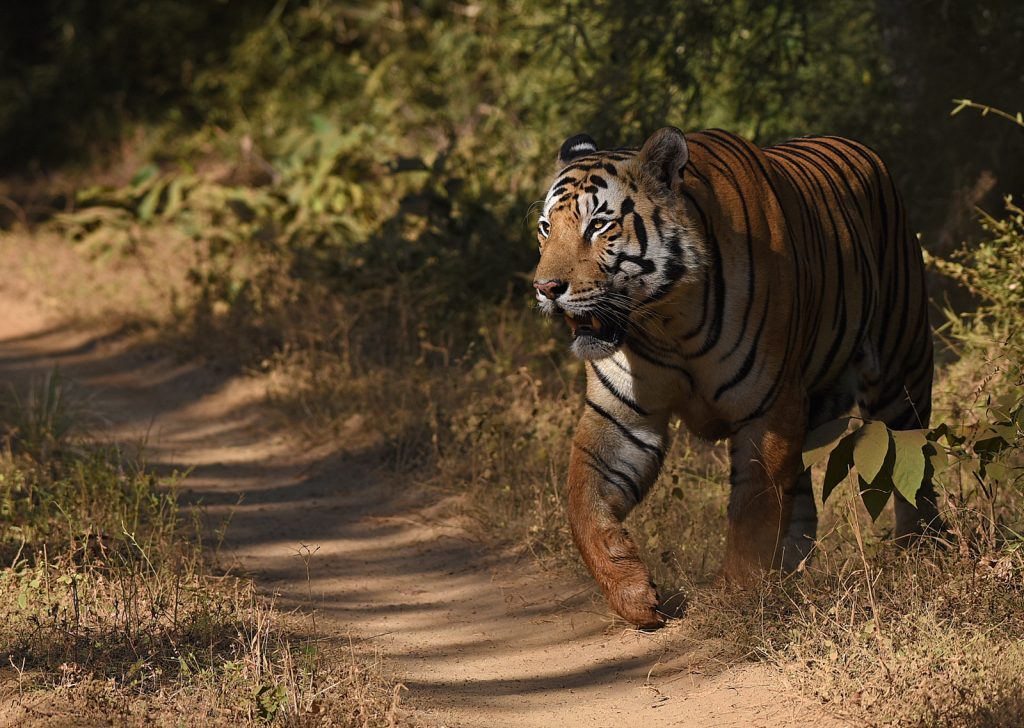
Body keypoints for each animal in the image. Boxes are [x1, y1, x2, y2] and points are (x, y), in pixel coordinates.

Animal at [536, 125, 942, 626]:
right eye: (546, 228)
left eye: (597, 225)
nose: (545, 288)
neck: (665, 320)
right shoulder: (622, 415)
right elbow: (583, 501)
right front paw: (630, 590)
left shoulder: (767, 408)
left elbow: (753, 507)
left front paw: (736, 593)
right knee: (802, 506)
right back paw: (790, 574)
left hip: (900, 369)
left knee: (912, 463)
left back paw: (919, 551)